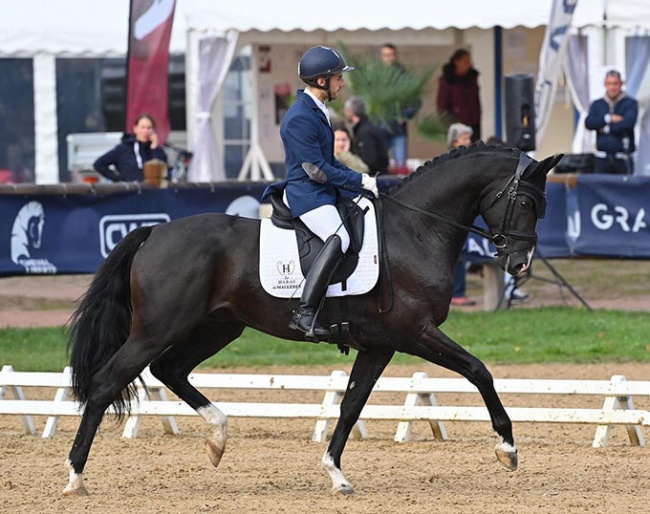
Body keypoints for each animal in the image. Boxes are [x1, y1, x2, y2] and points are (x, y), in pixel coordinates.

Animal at [64, 142, 560, 494]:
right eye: (527, 203)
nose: (520, 264)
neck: (416, 231)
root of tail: (154, 231)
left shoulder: (381, 345)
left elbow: (350, 405)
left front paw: (335, 473)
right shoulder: (416, 332)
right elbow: (479, 370)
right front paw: (507, 447)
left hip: (218, 326)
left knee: (170, 369)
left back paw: (217, 438)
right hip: (157, 328)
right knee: (108, 382)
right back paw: (74, 477)